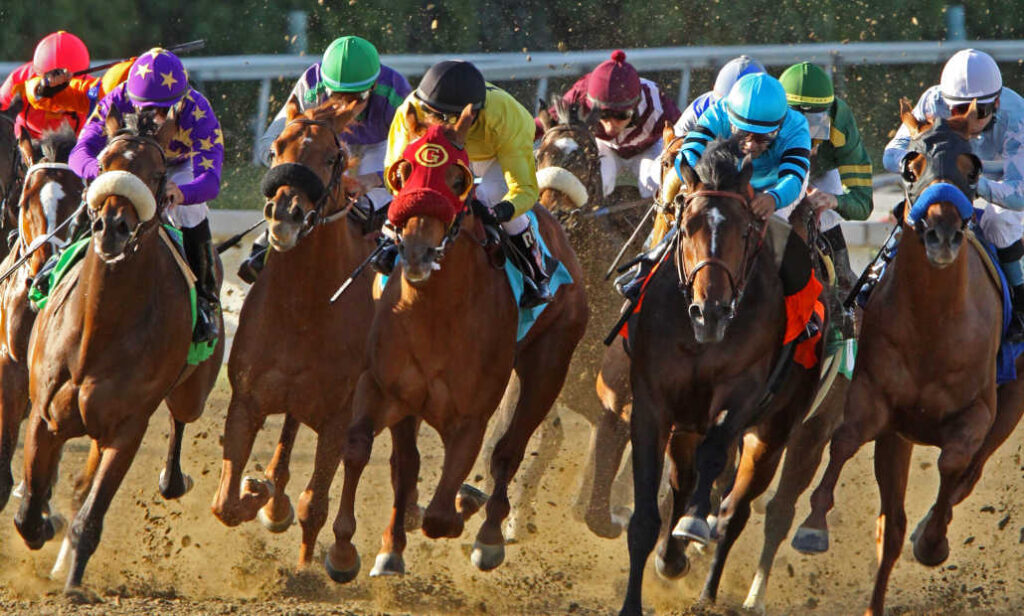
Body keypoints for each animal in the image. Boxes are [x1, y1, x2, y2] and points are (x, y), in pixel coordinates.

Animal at [14, 106, 225, 593]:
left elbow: (91, 514)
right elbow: (30, 508)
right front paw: (44, 526)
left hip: (192, 392)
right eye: (105, 163)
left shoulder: (127, 430)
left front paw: (74, 584)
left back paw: (172, 479)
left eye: (159, 172)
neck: (99, 327)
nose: (112, 226)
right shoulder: (44, 415)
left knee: (179, 424)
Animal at [211, 98, 421, 568]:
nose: (284, 214)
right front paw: (261, 494)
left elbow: (316, 506)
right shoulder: (247, 400)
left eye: (330, 157)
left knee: (401, 458)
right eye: (276, 149)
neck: (304, 309)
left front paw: (311, 566)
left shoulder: (338, 419)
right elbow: (225, 503)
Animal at [324, 105, 587, 582]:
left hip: (549, 365)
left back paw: (489, 535)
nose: (416, 252)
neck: (435, 315)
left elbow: (442, 514)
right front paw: (355, 551)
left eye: (459, 179)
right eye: (402, 172)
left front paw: (464, 507)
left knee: (509, 453)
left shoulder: (470, 417)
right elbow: (368, 453)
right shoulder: (385, 388)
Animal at [619, 137, 825, 615]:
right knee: (682, 481)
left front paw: (695, 525)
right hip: (686, 426)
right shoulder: (652, 404)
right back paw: (671, 559)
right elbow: (645, 516)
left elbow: (715, 456)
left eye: (746, 231)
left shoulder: (742, 395)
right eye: (686, 224)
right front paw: (638, 593)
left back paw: (708, 592)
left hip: (774, 432)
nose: (709, 311)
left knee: (734, 512)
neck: (701, 340)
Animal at [791, 100, 1024, 615]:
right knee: (891, 527)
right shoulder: (878, 402)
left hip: (1010, 404)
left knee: (969, 475)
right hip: (899, 438)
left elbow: (954, 465)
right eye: (910, 166)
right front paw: (813, 525)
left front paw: (933, 541)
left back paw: (929, 530)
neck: (934, 323)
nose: (941, 234)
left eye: (972, 168)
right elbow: (845, 440)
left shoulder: (977, 413)